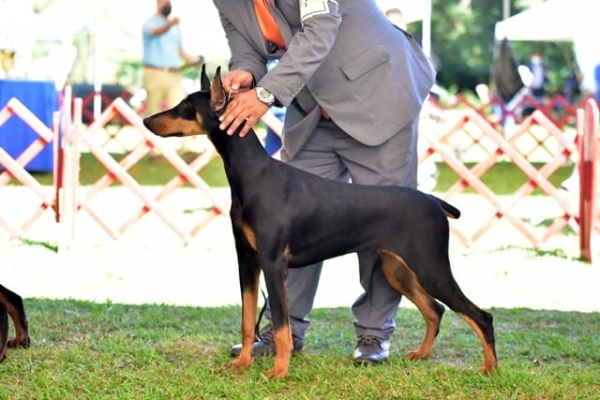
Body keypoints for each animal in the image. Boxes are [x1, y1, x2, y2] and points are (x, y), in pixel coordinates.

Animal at [142, 65, 496, 378]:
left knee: (481, 316)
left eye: (187, 106)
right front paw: (242, 364)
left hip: (430, 268)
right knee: (435, 310)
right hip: (398, 269)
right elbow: (246, 320)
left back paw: (489, 369)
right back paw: (421, 355)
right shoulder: (247, 260)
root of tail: (436, 202)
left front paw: (278, 372)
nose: (146, 120)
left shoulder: (273, 264)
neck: (253, 175)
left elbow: (282, 327)